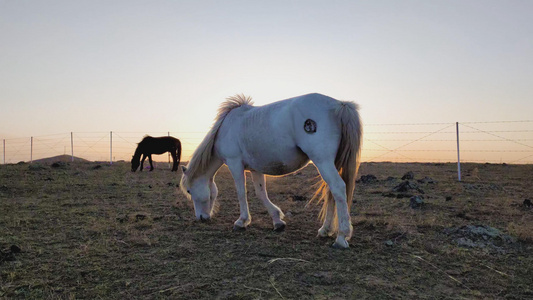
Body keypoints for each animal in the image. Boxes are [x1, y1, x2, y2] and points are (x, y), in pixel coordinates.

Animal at [180, 92, 362, 247]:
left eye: (189, 191)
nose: (201, 218)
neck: (226, 128)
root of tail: (340, 105)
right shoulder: (255, 169)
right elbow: (261, 193)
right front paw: (277, 221)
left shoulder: (234, 164)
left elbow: (241, 193)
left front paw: (241, 221)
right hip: (332, 163)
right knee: (331, 192)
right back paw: (325, 230)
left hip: (323, 161)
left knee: (337, 188)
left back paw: (341, 237)